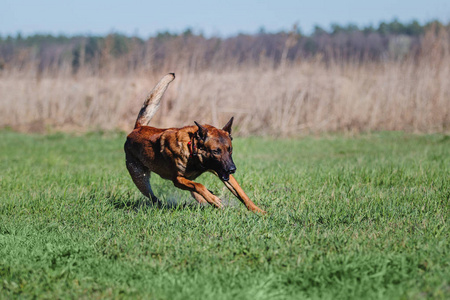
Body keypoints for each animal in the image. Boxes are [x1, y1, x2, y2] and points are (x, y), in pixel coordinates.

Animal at [123, 73, 266, 213]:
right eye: (215, 151)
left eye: (229, 149)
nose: (232, 169)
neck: (192, 149)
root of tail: (137, 128)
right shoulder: (177, 179)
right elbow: (199, 185)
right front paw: (214, 200)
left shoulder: (222, 172)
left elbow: (242, 194)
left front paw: (259, 211)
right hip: (140, 179)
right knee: (154, 197)